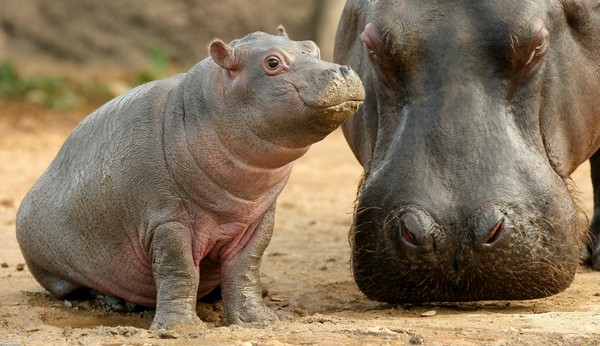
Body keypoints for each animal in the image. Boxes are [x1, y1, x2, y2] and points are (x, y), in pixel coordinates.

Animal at [16, 27, 364, 330]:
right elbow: (179, 269)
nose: (342, 70)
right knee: (78, 287)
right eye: (272, 62)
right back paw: (115, 303)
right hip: (55, 268)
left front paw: (259, 320)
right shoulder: (167, 220)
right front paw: (180, 328)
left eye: (312, 47)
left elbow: (246, 268)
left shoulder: (258, 219)